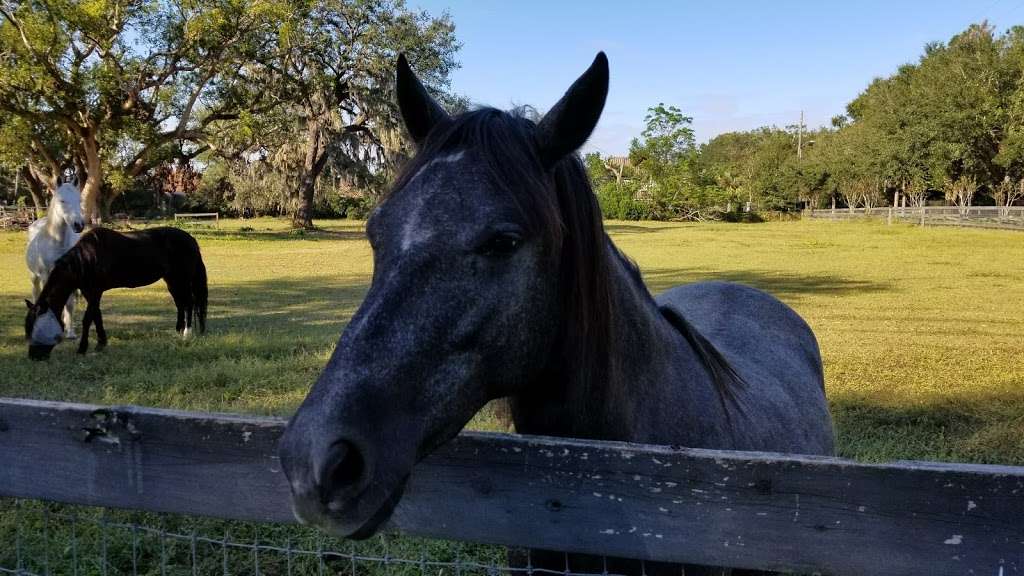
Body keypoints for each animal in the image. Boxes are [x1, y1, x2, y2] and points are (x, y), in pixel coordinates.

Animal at [24, 181, 84, 338]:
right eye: (62, 200)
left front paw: (70, 332)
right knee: (36, 294)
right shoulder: (45, 276)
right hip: (34, 277)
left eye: (80, 200)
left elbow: (69, 304)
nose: (79, 225)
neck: (57, 242)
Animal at [24, 225, 206, 356]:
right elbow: (97, 316)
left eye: (38, 328)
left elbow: (88, 319)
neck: (86, 258)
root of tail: (191, 239)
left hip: (181, 280)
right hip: (172, 281)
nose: (34, 357)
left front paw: (82, 348)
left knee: (189, 303)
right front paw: (100, 343)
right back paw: (178, 331)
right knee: (180, 304)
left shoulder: (95, 291)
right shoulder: (90, 293)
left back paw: (187, 334)